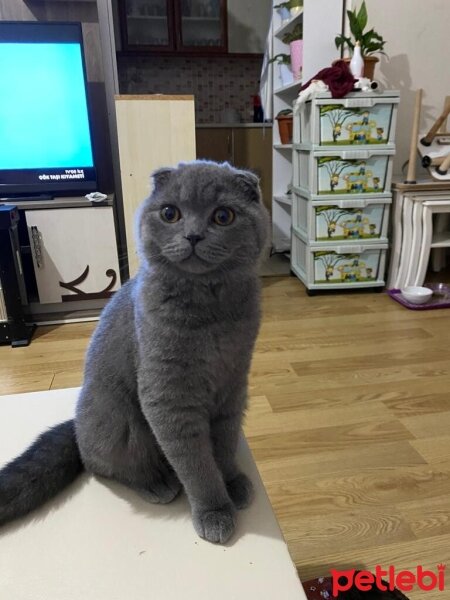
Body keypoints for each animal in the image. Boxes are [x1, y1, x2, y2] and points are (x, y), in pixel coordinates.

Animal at [0, 159, 268, 544]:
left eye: (223, 216)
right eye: (170, 213)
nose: (193, 235)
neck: (211, 313)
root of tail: (75, 425)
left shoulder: (233, 385)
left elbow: (225, 444)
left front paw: (232, 482)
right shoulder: (168, 396)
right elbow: (197, 462)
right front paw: (215, 510)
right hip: (121, 421)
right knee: (102, 465)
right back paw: (157, 484)